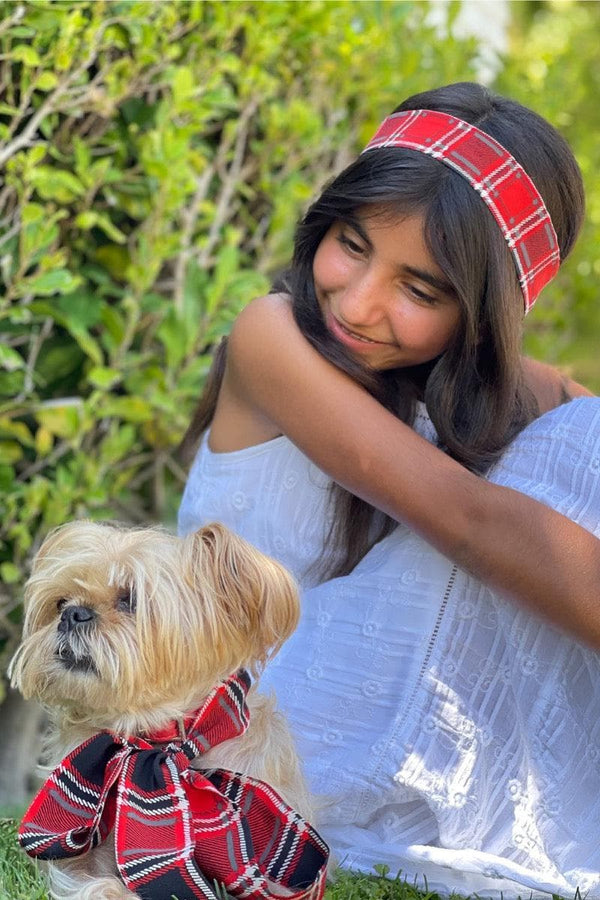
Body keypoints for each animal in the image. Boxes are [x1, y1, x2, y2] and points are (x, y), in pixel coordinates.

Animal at [9, 520, 328, 900]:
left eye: (129, 599)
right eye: (59, 602)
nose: (72, 614)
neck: (157, 740)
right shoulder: (79, 859)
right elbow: (95, 881)